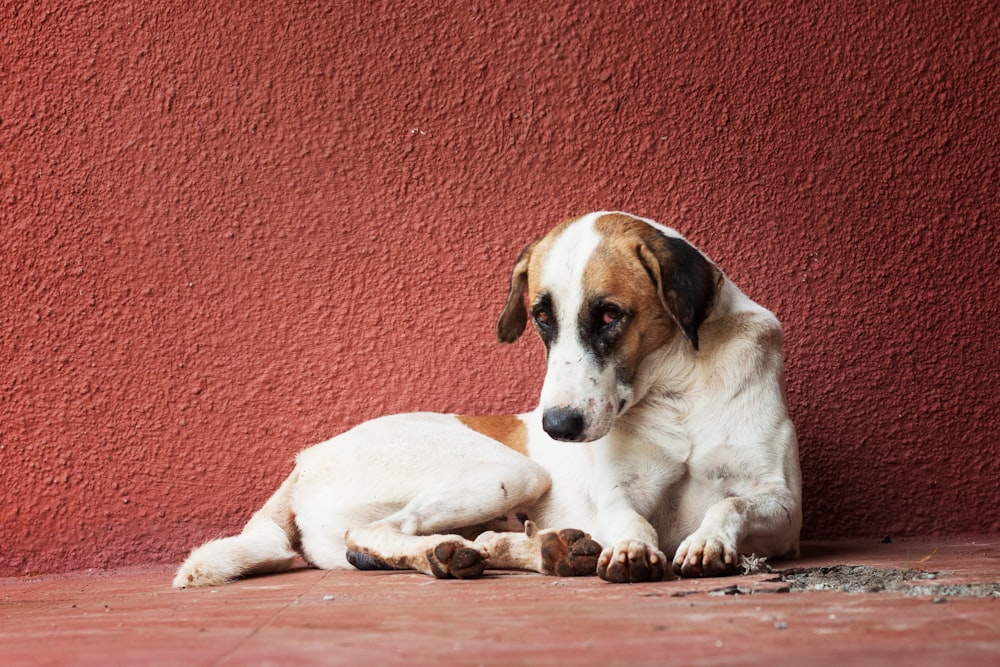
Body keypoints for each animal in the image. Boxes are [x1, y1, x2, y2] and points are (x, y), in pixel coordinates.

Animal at [174, 211, 804, 588]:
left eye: (609, 314)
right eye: (541, 317)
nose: (557, 426)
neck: (677, 390)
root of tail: (305, 460)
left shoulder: (783, 508)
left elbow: (731, 503)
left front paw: (708, 541)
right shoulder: (620, 496)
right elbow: (635, 524)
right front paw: (630, 550)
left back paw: (536, 550)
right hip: (512, 471)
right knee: (375, 535)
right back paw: (460, 555)